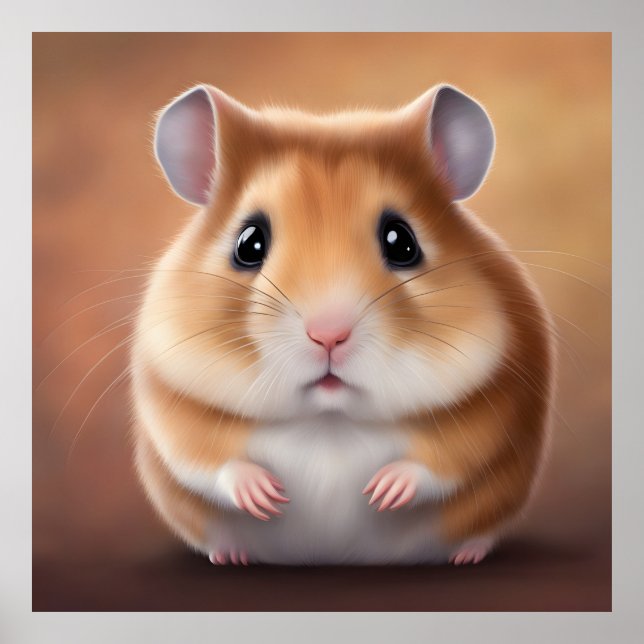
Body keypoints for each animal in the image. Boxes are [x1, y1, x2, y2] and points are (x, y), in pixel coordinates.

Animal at [131, 83, 555, 566]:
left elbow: (445, 458)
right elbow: (209, 459)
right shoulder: (173, 408)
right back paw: (230, 555)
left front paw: (383, 492)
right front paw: (267, 496)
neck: (329, 420)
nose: (328, 335)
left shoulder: (495, 405)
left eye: (402, 242)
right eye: (248, 243)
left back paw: (465, 556)